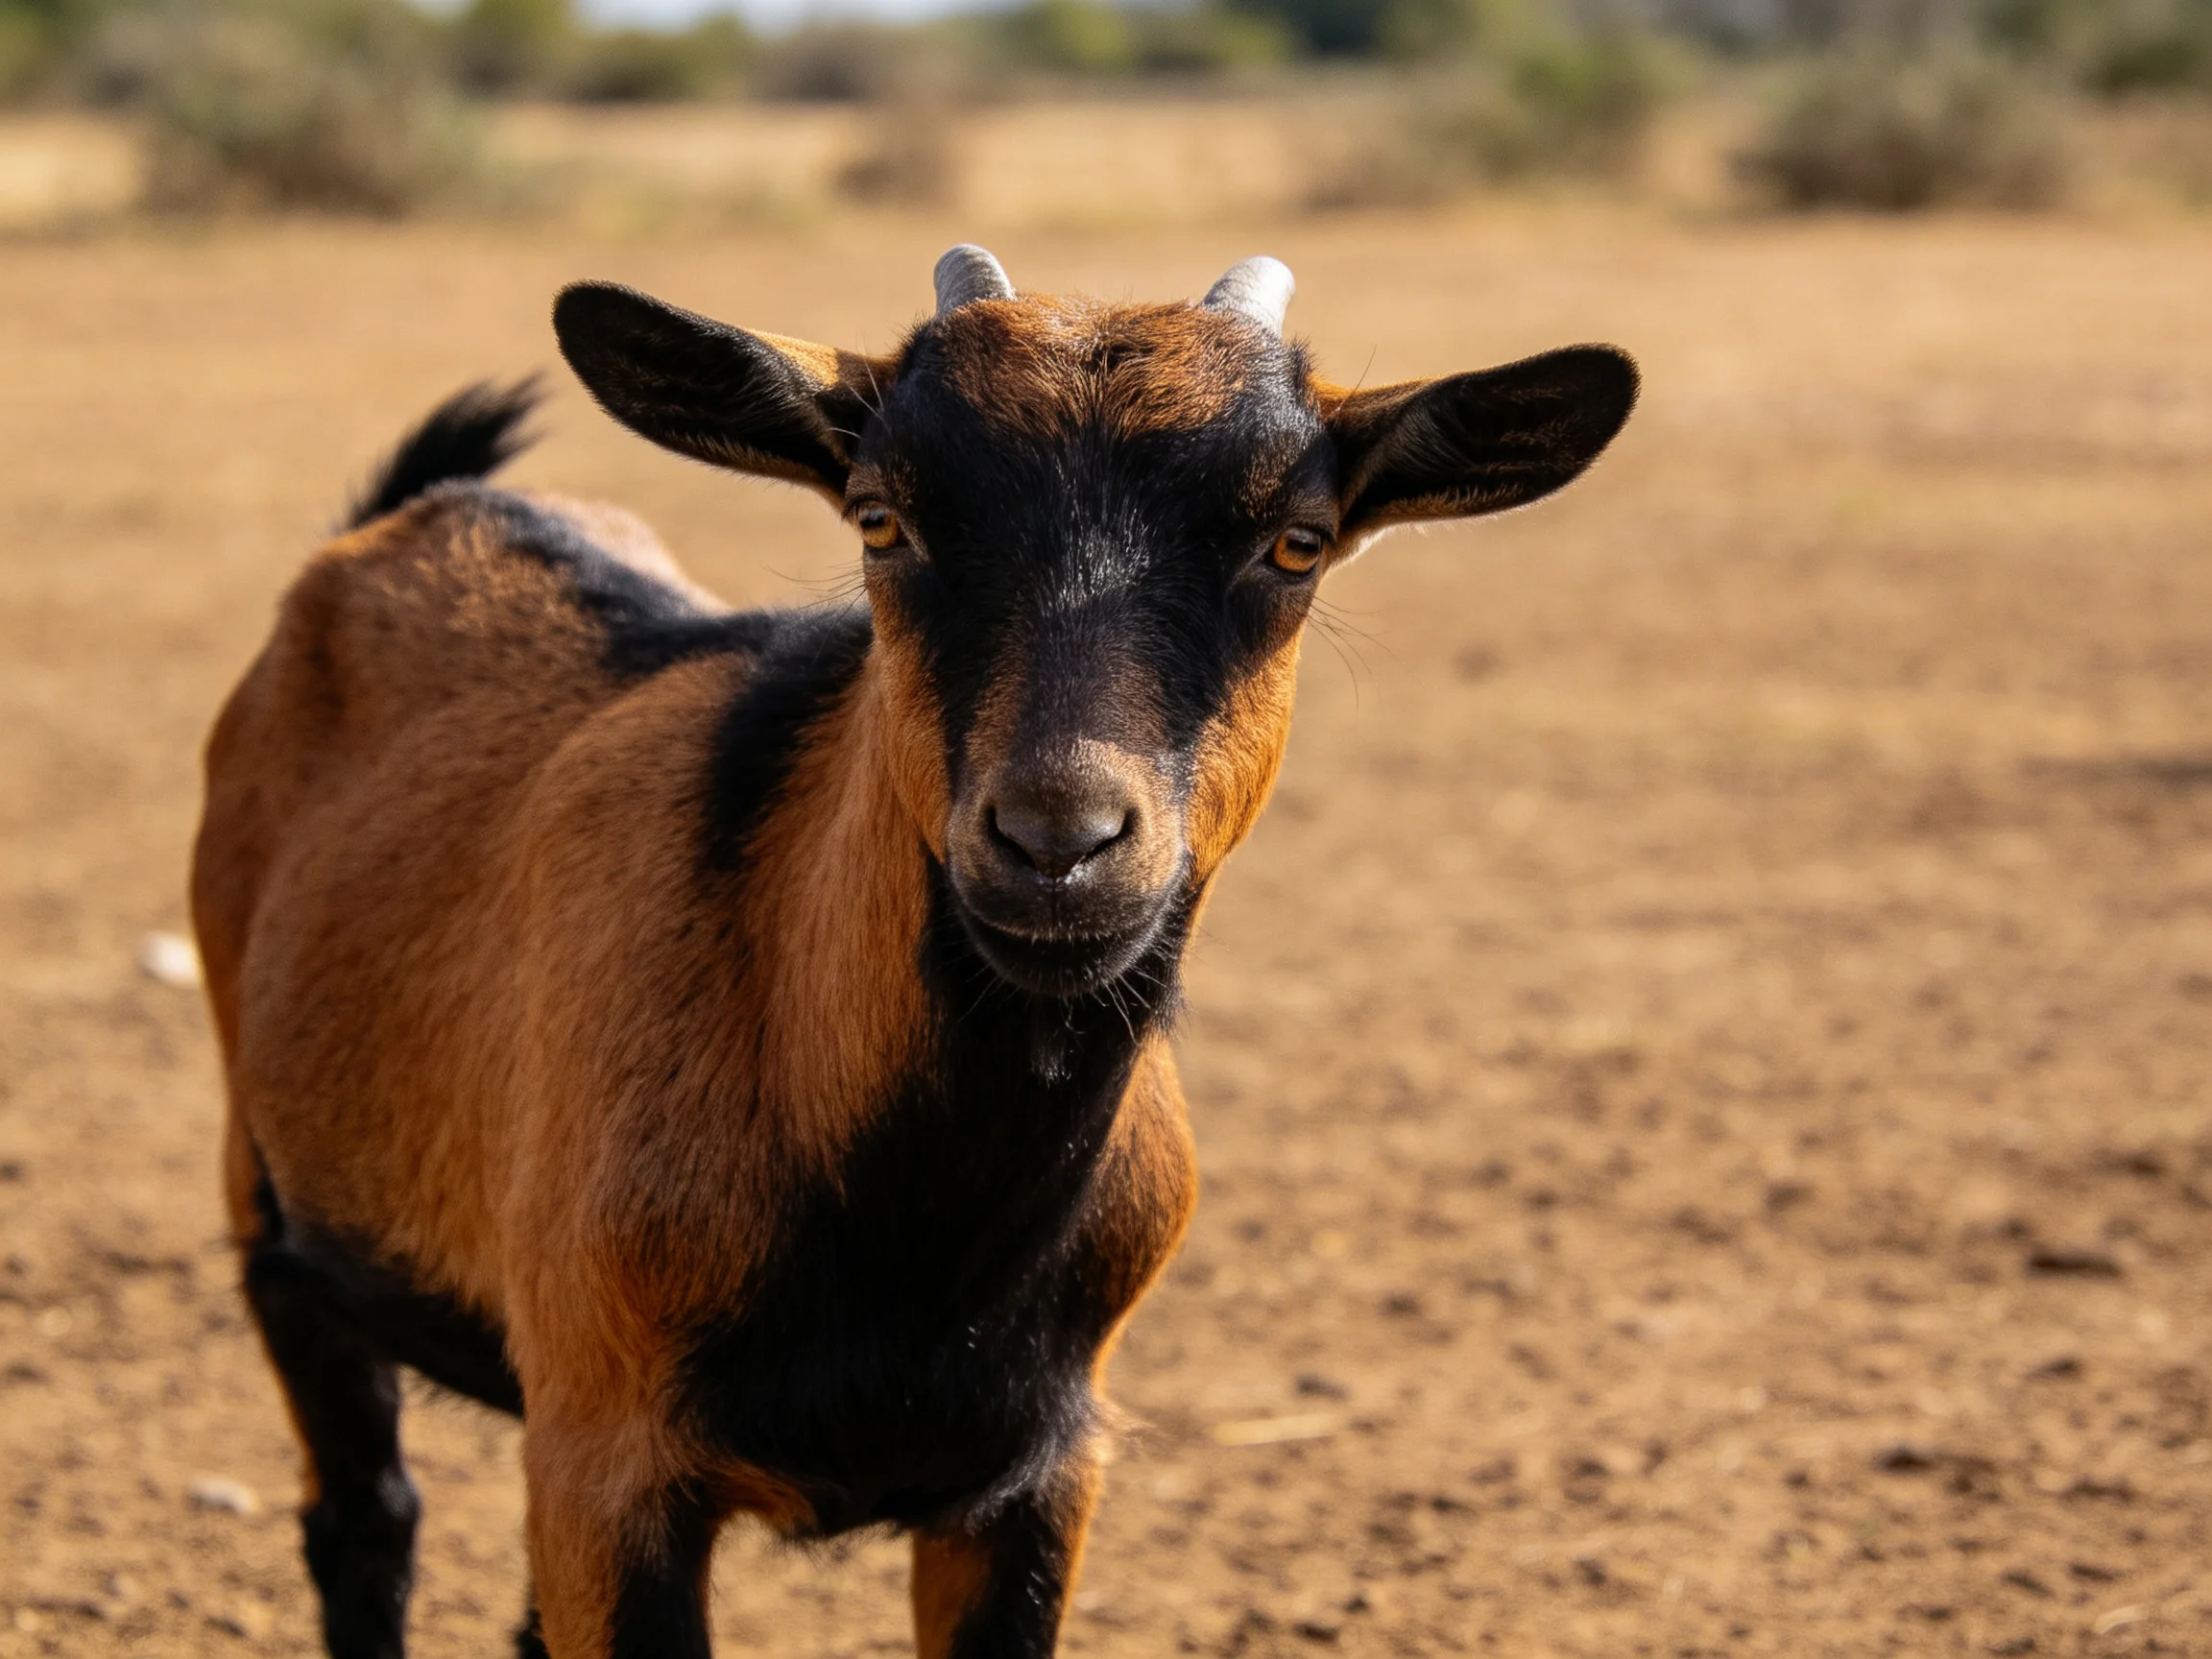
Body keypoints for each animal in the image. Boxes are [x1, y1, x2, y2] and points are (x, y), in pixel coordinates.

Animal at [192, 247, 1636, 1659]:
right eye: (881, 517)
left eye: (1300, 541)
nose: (1057, 840)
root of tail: (422, 508)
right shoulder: (608, 1452)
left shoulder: (1037, 1473)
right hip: (279, 1215)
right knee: (366, 1520)